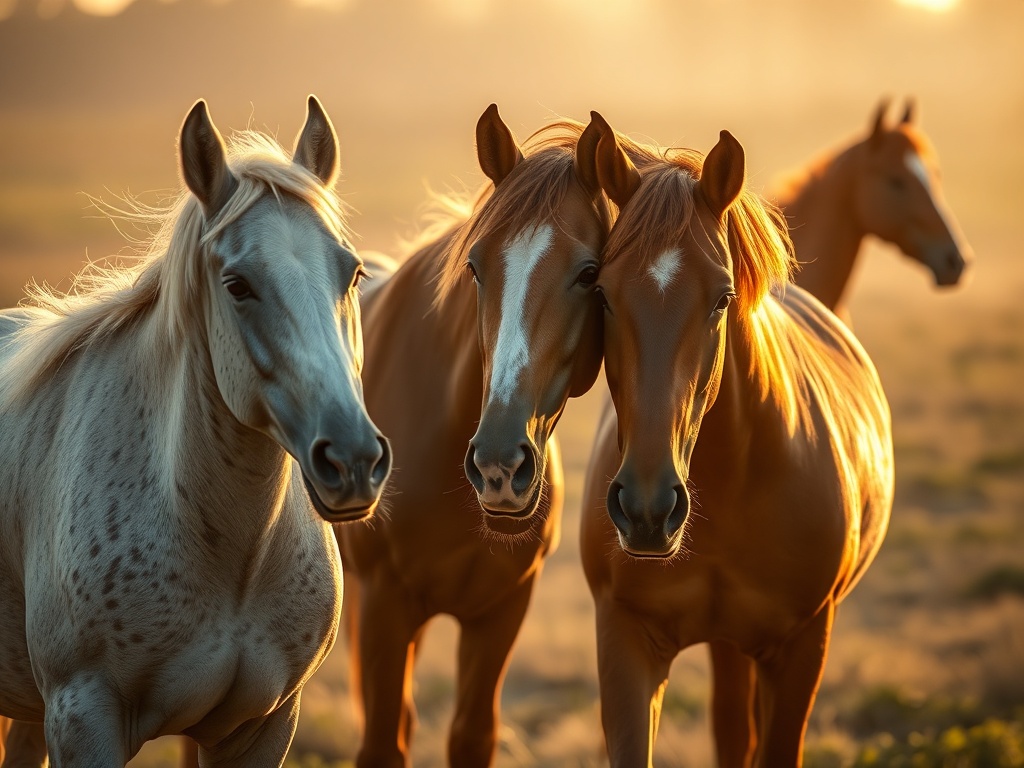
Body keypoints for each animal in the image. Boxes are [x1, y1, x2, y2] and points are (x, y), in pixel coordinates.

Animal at [335, 104, 608, 767]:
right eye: (476, 267)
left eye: (590, 273)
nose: (499, 466)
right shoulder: (384, 606)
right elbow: (383, 743)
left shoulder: (500, 613)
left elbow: (470, 735)